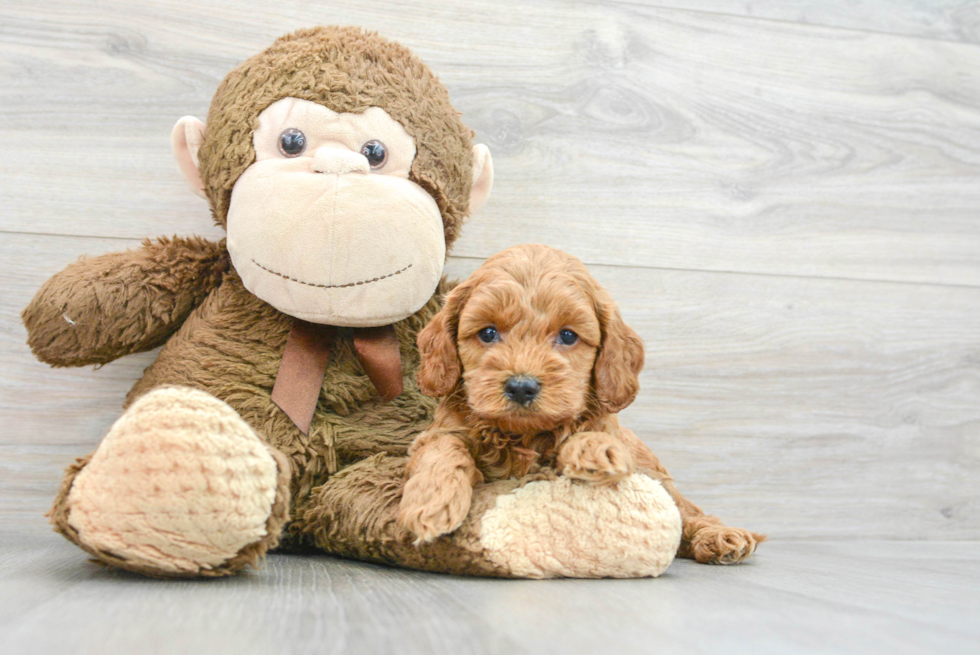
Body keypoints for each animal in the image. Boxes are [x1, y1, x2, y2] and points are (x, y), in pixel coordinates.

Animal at [394, 246, 760, 564]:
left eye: (568, 336)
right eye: (487, 333)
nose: (522, 387)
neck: (523, 435)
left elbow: (594, 435)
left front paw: (595, 452)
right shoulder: (440, 432)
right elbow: (443, 449)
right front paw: (432, 501)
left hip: (653, 471)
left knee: (687, 510)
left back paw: (719, 537)